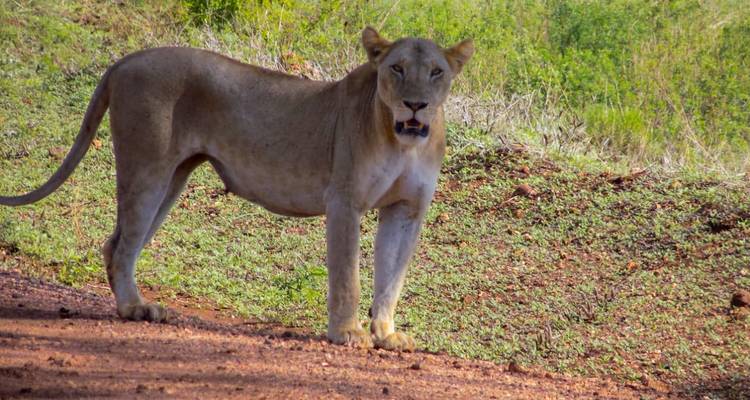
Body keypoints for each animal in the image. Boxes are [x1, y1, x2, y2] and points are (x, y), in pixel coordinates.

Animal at [0, 27, 473, 351]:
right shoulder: (345, 201)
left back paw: (135, 307)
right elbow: (348, 276)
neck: (403, 141)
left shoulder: (406, 209)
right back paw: (134, 309)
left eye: (436, 72)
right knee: (121, 244)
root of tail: (126, 60)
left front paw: (387, 335)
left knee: (117, 243)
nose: (416, 105)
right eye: (396, 69)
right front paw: (347, 333)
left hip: (172, 177)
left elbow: (392, 277)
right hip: (147, 167)